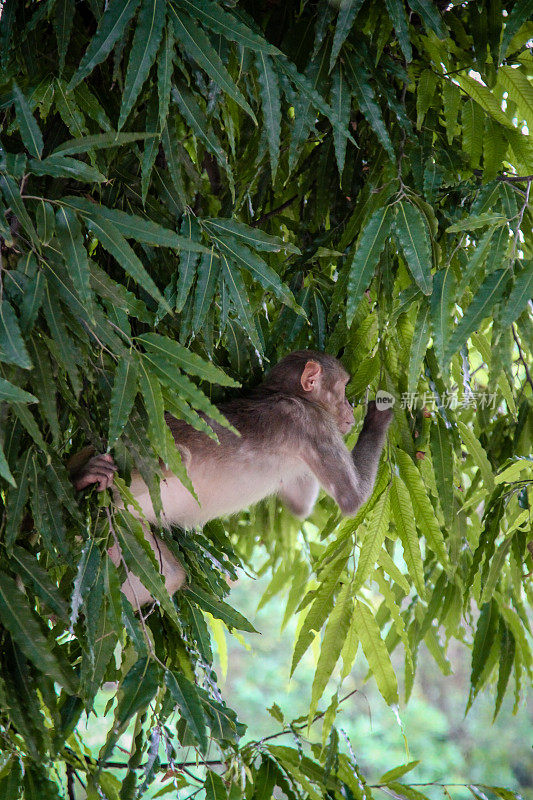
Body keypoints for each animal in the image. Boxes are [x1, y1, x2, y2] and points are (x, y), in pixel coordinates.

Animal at [70, 350, 390, 608]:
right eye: (343, 389)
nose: (349, 407)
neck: (294, 396)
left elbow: (298, 506)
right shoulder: (312, 421)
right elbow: (352, 498)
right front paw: (381, 413)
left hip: (126, 525)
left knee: (169, 574)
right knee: (179, 459)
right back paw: (83, 475)